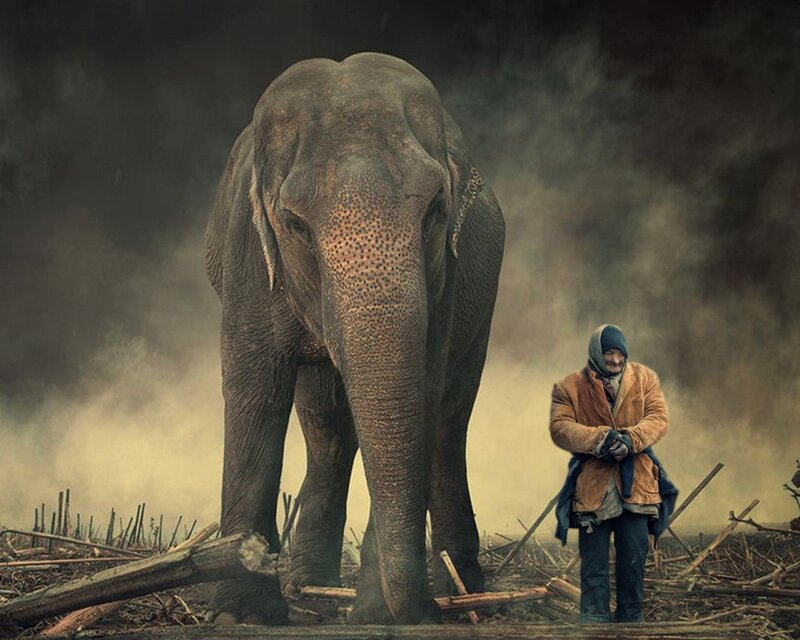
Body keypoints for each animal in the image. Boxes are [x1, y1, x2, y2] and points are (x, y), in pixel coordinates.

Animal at [204, 52, 505, 625]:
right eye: (295, 224)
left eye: (435, 209)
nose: (424, 612)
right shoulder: (246, 258)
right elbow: (254, 393)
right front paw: (243, 614)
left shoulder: (445, 280)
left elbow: (424, 391)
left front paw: (375, 615)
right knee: (324, 420)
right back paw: (308, 586)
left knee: (451, 415)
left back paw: (460, 584)